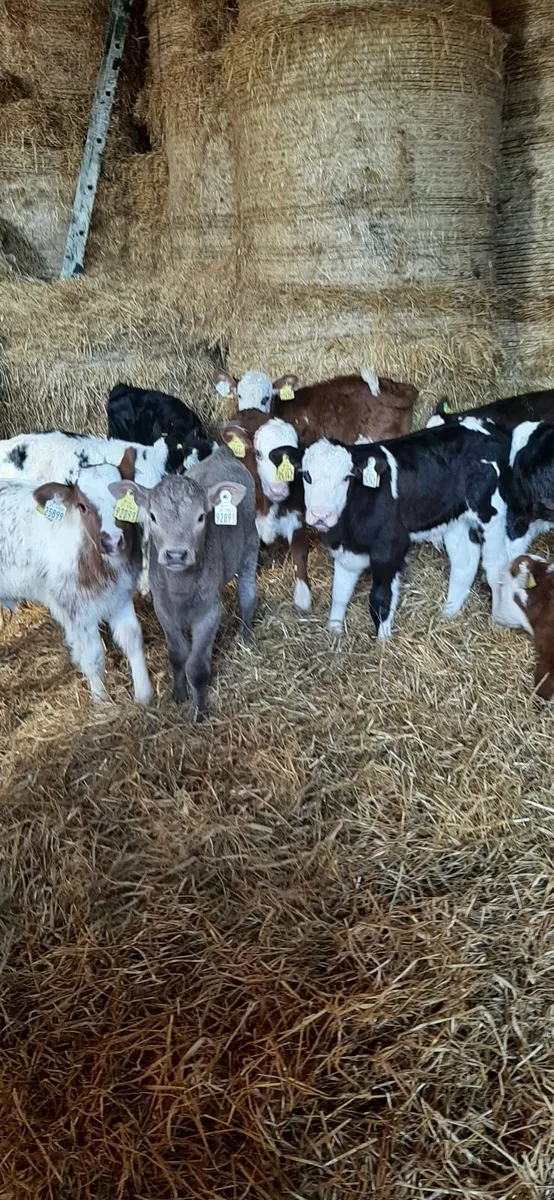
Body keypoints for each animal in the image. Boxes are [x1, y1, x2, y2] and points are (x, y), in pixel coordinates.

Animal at [0, 454, 151, 705]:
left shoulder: (120, 596)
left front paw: (144, 695)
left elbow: (132, 638)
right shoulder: (74, 610)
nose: (112, 541)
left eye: (126, 500)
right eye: (82, 507)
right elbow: (92, 655)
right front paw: (101, 701)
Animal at [109, 448, 258, 720]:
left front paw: (198, 712)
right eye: (153, 516)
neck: (181, 589)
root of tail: (223, 453)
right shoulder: (162, 608)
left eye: (201, 517)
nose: (176, 554)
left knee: (247, 595)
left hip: (250, 544)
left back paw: (246, 636)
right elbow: (177, 655)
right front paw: (178, 694)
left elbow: (196, 667)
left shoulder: (210, 612)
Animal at [220, 415, 311, 611]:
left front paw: (303, 595)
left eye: (293, 460)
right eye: (258, 454)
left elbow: (300, 552)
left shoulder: (296, 517)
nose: (278, 490)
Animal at [278, 419, 513, 637]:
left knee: (496, 567)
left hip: (493, 515)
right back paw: (448, 614)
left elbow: (380, 599)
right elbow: (339, 594)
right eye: (307, 475)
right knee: (464, 564)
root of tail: (488, 427)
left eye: (346, 478)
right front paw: (334, 632)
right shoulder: (347, 552)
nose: (321, 515)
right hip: (456, 520)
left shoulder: (389, 549)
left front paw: (382, 643)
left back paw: (497, 621)